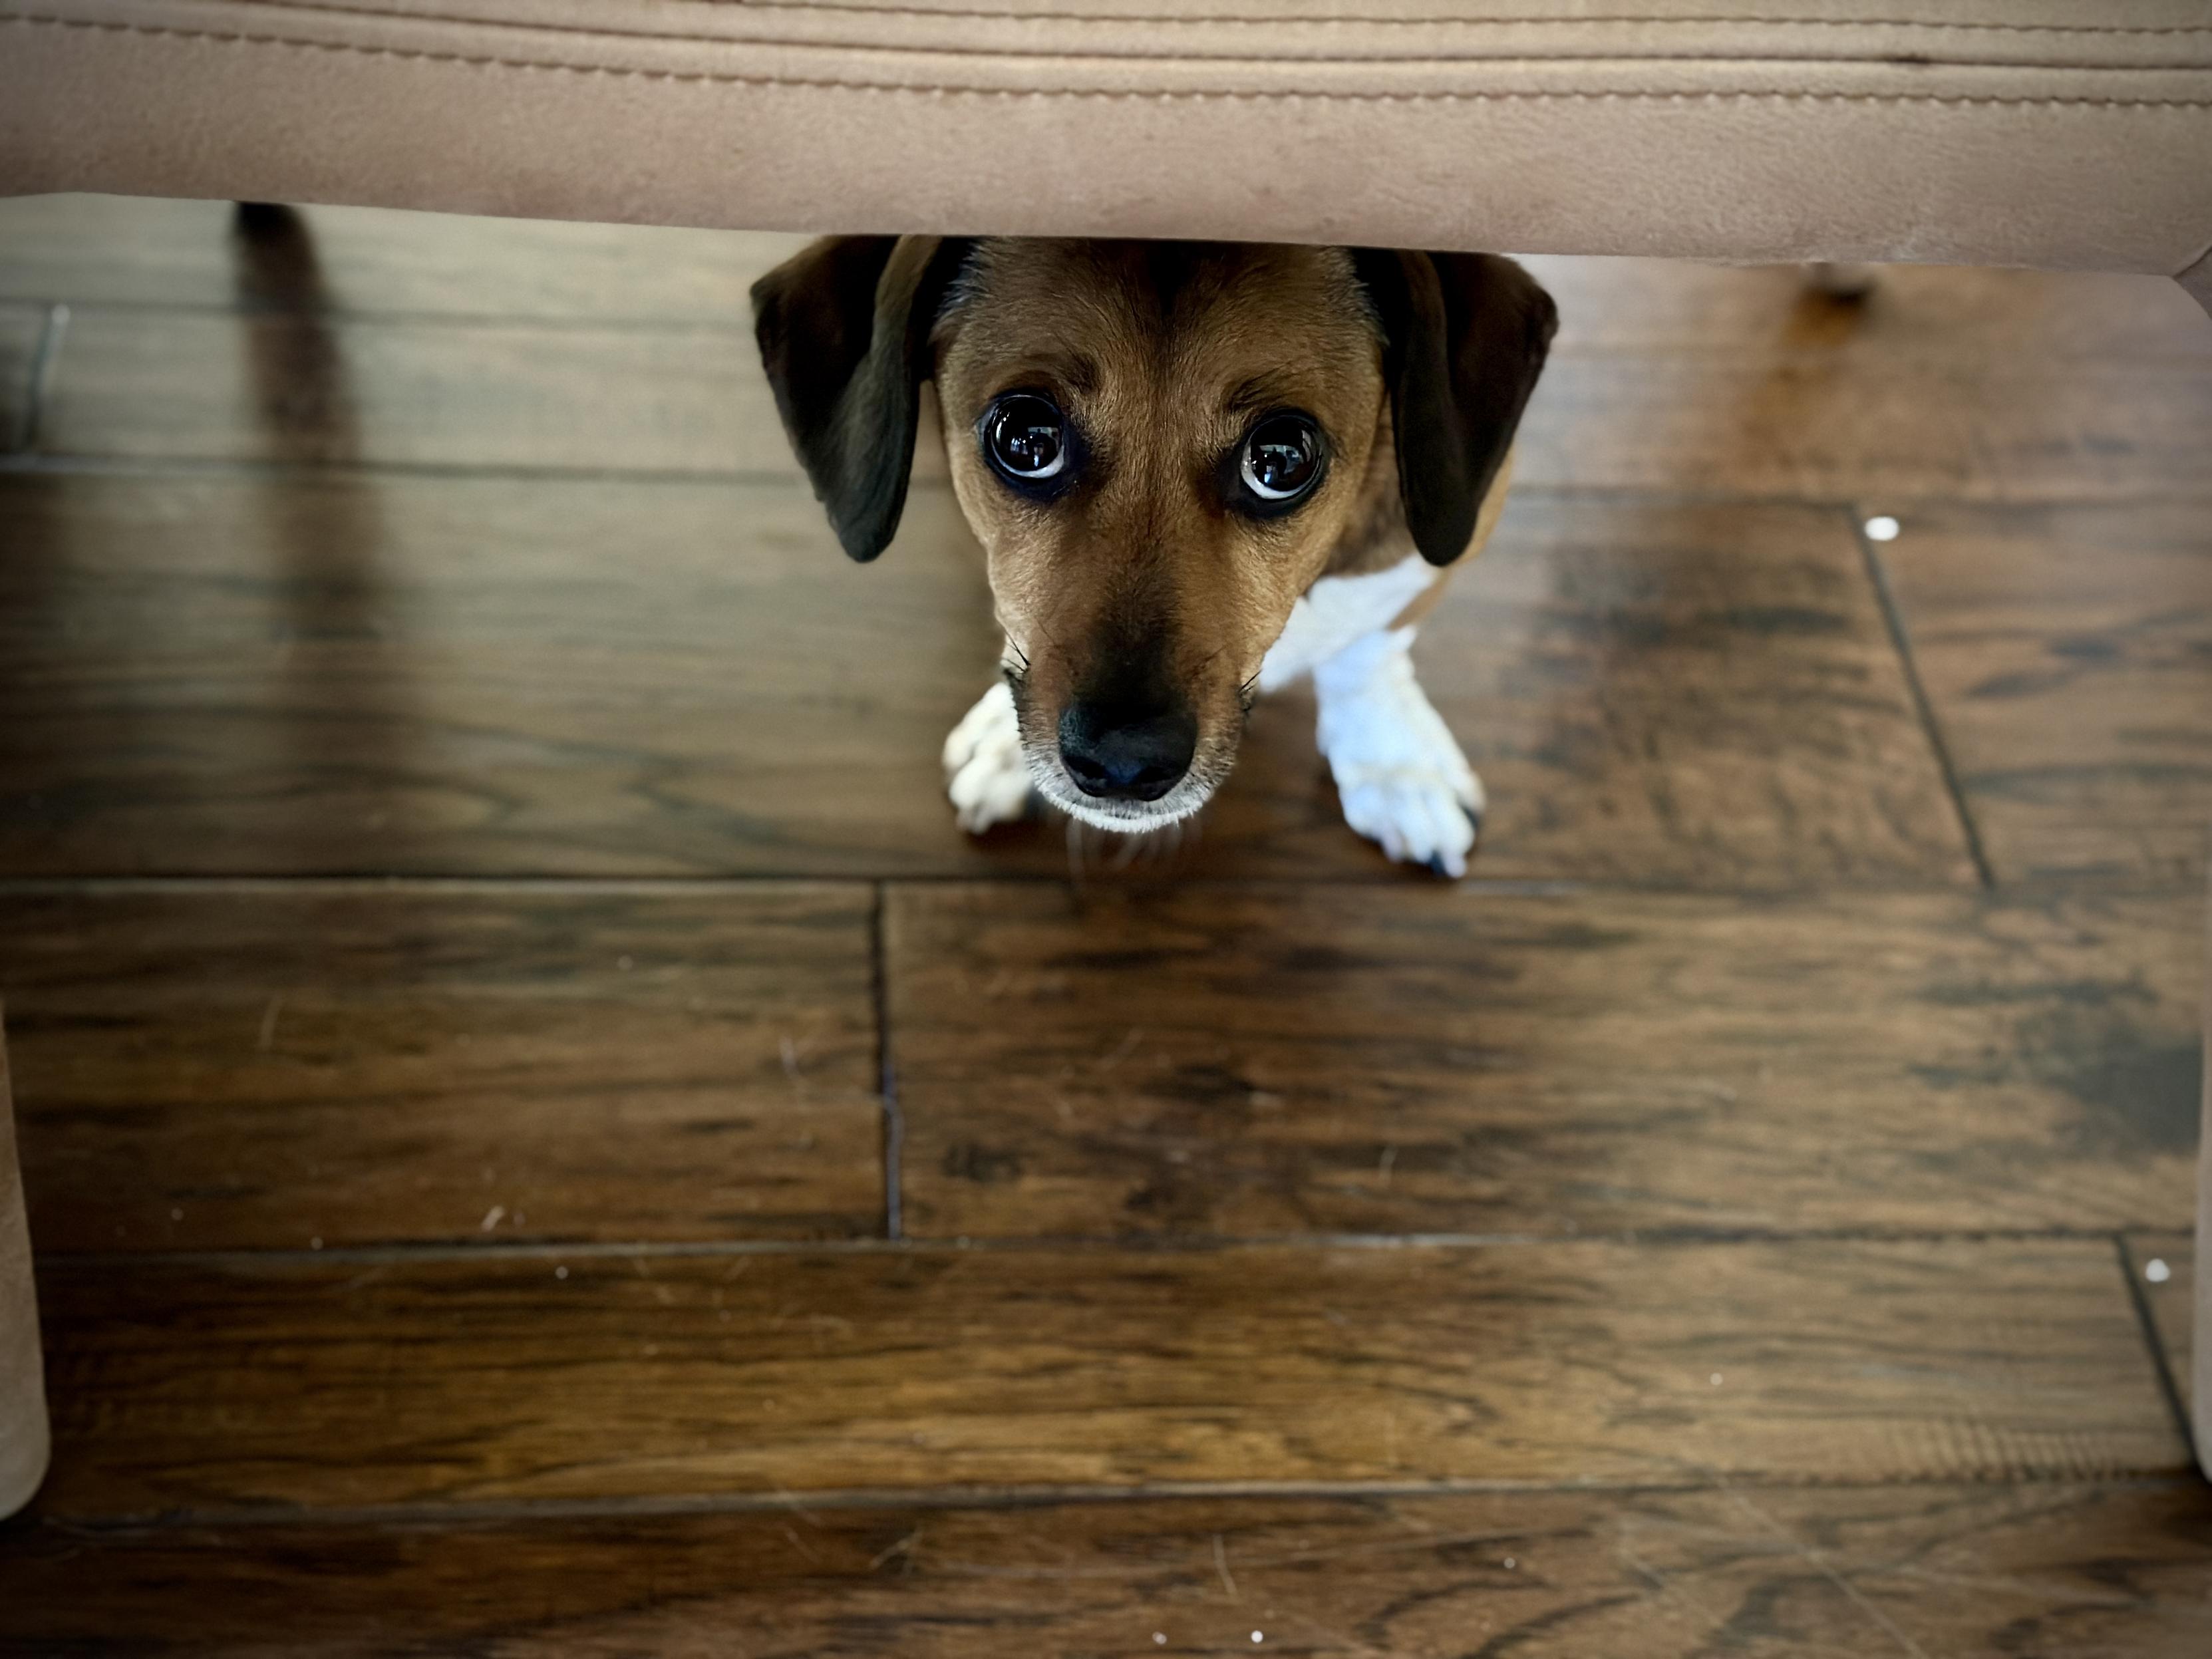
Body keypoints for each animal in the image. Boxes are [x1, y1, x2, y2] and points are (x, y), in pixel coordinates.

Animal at [752, 239, 1554, 876]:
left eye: (1282, 458)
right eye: (1024, 439)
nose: (1123, 764)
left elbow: (1369, 647)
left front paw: (1394, 758)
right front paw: (1002, 740)